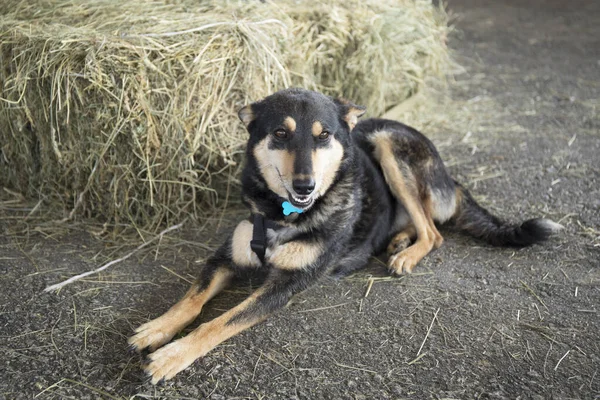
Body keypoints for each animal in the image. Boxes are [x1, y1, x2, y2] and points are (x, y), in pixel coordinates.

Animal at [127, 88, 564, 384]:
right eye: (280, 134)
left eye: (323, 136)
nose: (305, 186)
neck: (285, 214)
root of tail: (449, 176)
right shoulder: (227, 257)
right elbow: (192, 298)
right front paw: (157, 328)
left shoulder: (285, 285)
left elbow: (218, 322)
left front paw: (172, 355)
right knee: (423, 223)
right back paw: (397, 241)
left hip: (388, 143)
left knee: (434, 231)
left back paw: (406, 253)